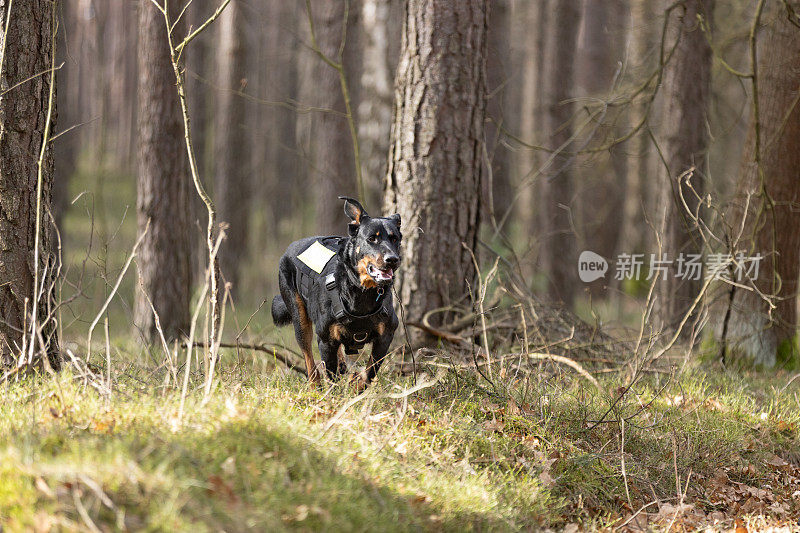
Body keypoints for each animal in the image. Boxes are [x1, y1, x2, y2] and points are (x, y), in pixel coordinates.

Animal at [274, 195, 400, 386]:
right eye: (372, 238)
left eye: (395, 239)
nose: (392, 259)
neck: (361, 292)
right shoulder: (325, 340)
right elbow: (330, 375)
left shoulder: (385, 335)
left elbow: (369, 373)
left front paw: (356, 384)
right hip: (299, 317)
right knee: (310, 361)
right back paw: (316, 385)